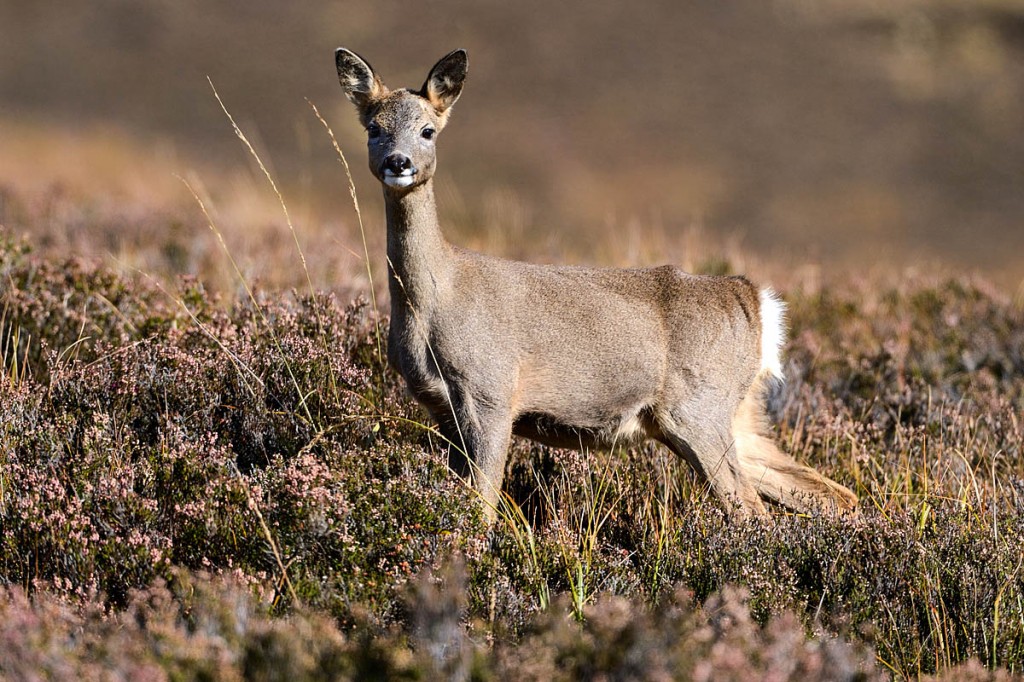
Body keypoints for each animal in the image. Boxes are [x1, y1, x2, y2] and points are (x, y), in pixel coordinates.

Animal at [334, 47, 858, 519]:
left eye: (428, 130)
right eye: (374, 129)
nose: (398, 162)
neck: (435, 300)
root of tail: (754, 301)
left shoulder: (489, 391)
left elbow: (481, 504)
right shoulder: (440, 407)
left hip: (697, 408)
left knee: (751, 509)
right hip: (738, 413)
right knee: (830, 494)